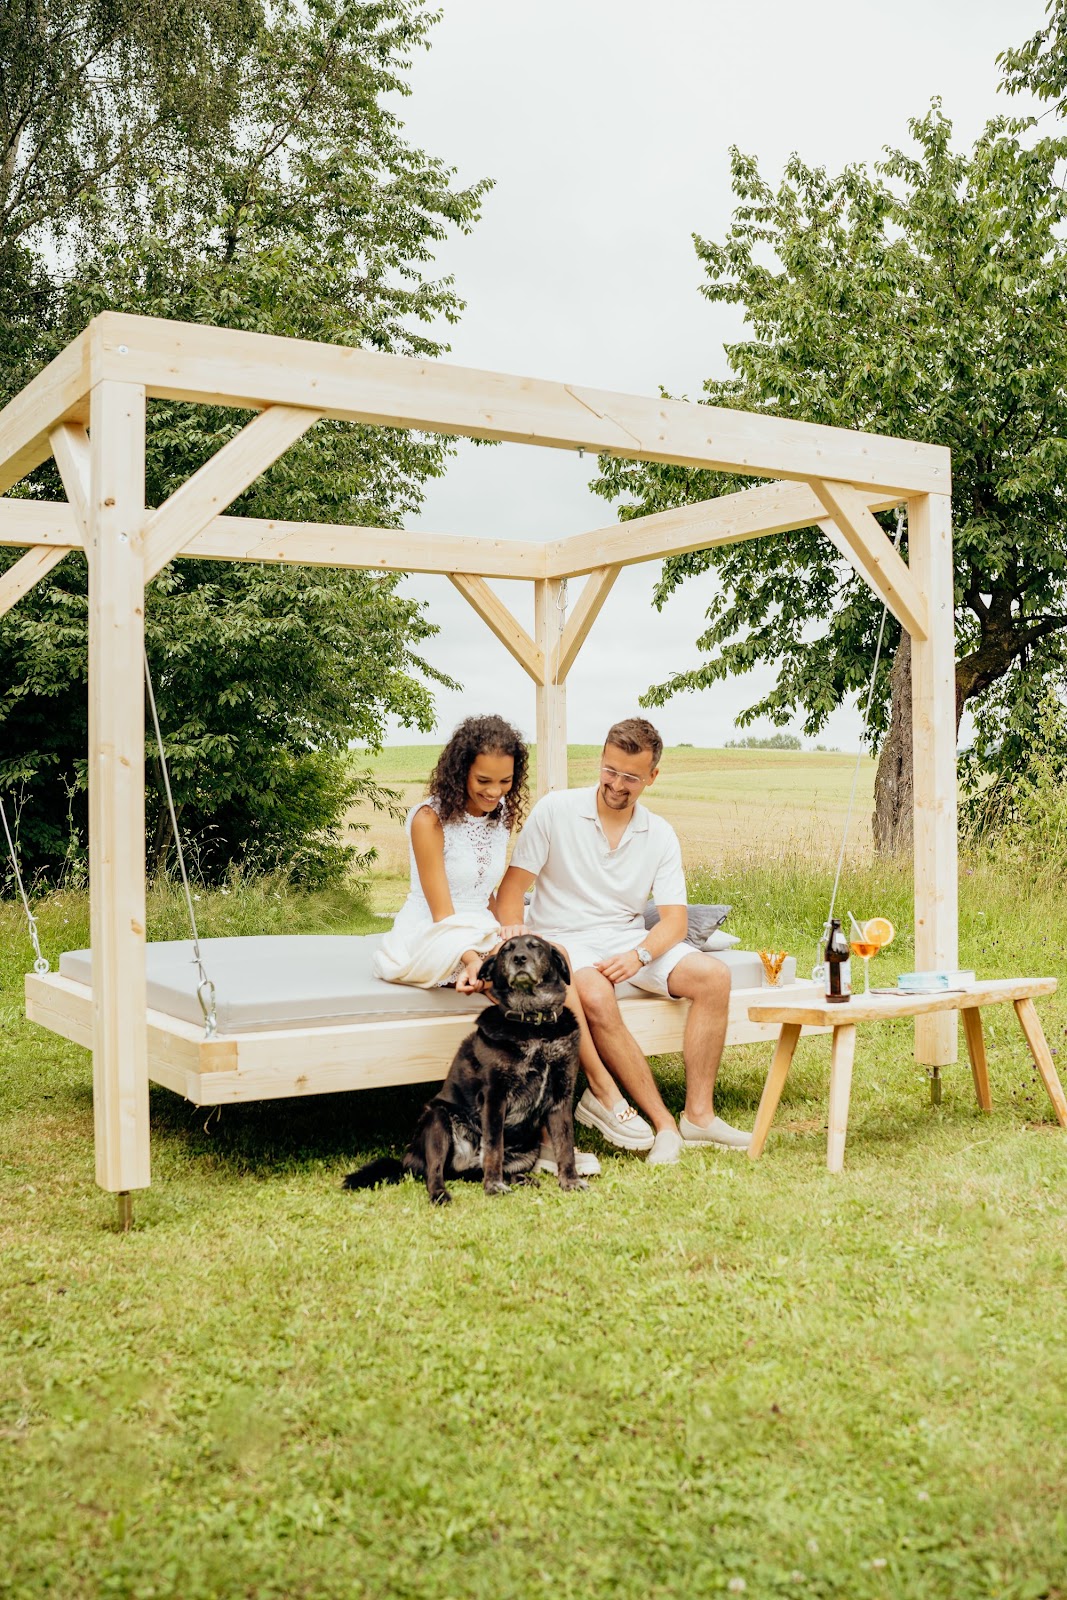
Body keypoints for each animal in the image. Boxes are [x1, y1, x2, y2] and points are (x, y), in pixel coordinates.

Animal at [343, 935, 586, 1205]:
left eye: (536, 946)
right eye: (506, 950)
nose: (519, 959)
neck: (533, 1025)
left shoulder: (561, 1096)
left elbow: (565, 1146)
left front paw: (570, 1181)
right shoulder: (495, 1096)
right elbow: (493, 1147)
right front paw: (494, 1186)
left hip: (528, 1152)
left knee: (472, 1173)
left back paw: (519, 1178)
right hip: (438, 1121)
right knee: (435, 1172)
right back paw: (440, 1194)